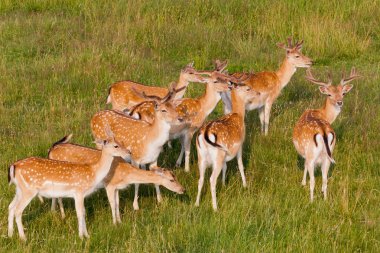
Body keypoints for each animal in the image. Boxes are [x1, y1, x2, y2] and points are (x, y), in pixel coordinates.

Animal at [46, 134, 185, 223]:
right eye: (171, 179)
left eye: (176, 176)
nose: (183, 190)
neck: (125, 175)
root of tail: (52, 149)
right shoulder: (110, 185)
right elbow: (112, 204)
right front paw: (114, 223)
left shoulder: (117, 187)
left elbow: (118, 203)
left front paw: (120, 221)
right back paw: (62, 215)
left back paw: (53, 211)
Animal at [196, 82, 262, 211]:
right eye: (248, 88)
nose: (258, 93)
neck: (239, 114)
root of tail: (204, 133)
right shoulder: (240, 144)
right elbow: (240, 165)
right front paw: (245, 185)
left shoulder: (226, 153)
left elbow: (225, 166)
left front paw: (224, 184)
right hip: (217, 155)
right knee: (211, 179)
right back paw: (215, 207)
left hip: (201, 156)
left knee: (200, 179)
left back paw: (196, 203)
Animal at [294, 67, 360, 202]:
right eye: (329, 94)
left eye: (343, 93)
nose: (340, 102)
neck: (322, 114)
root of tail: (323, 131)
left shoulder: (306, 154)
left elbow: (304, 166)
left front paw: (302, 183)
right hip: (329, 154)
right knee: (325, 180)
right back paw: (325, 200)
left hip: (312, 153)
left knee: (313, 180)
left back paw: (311, 201)